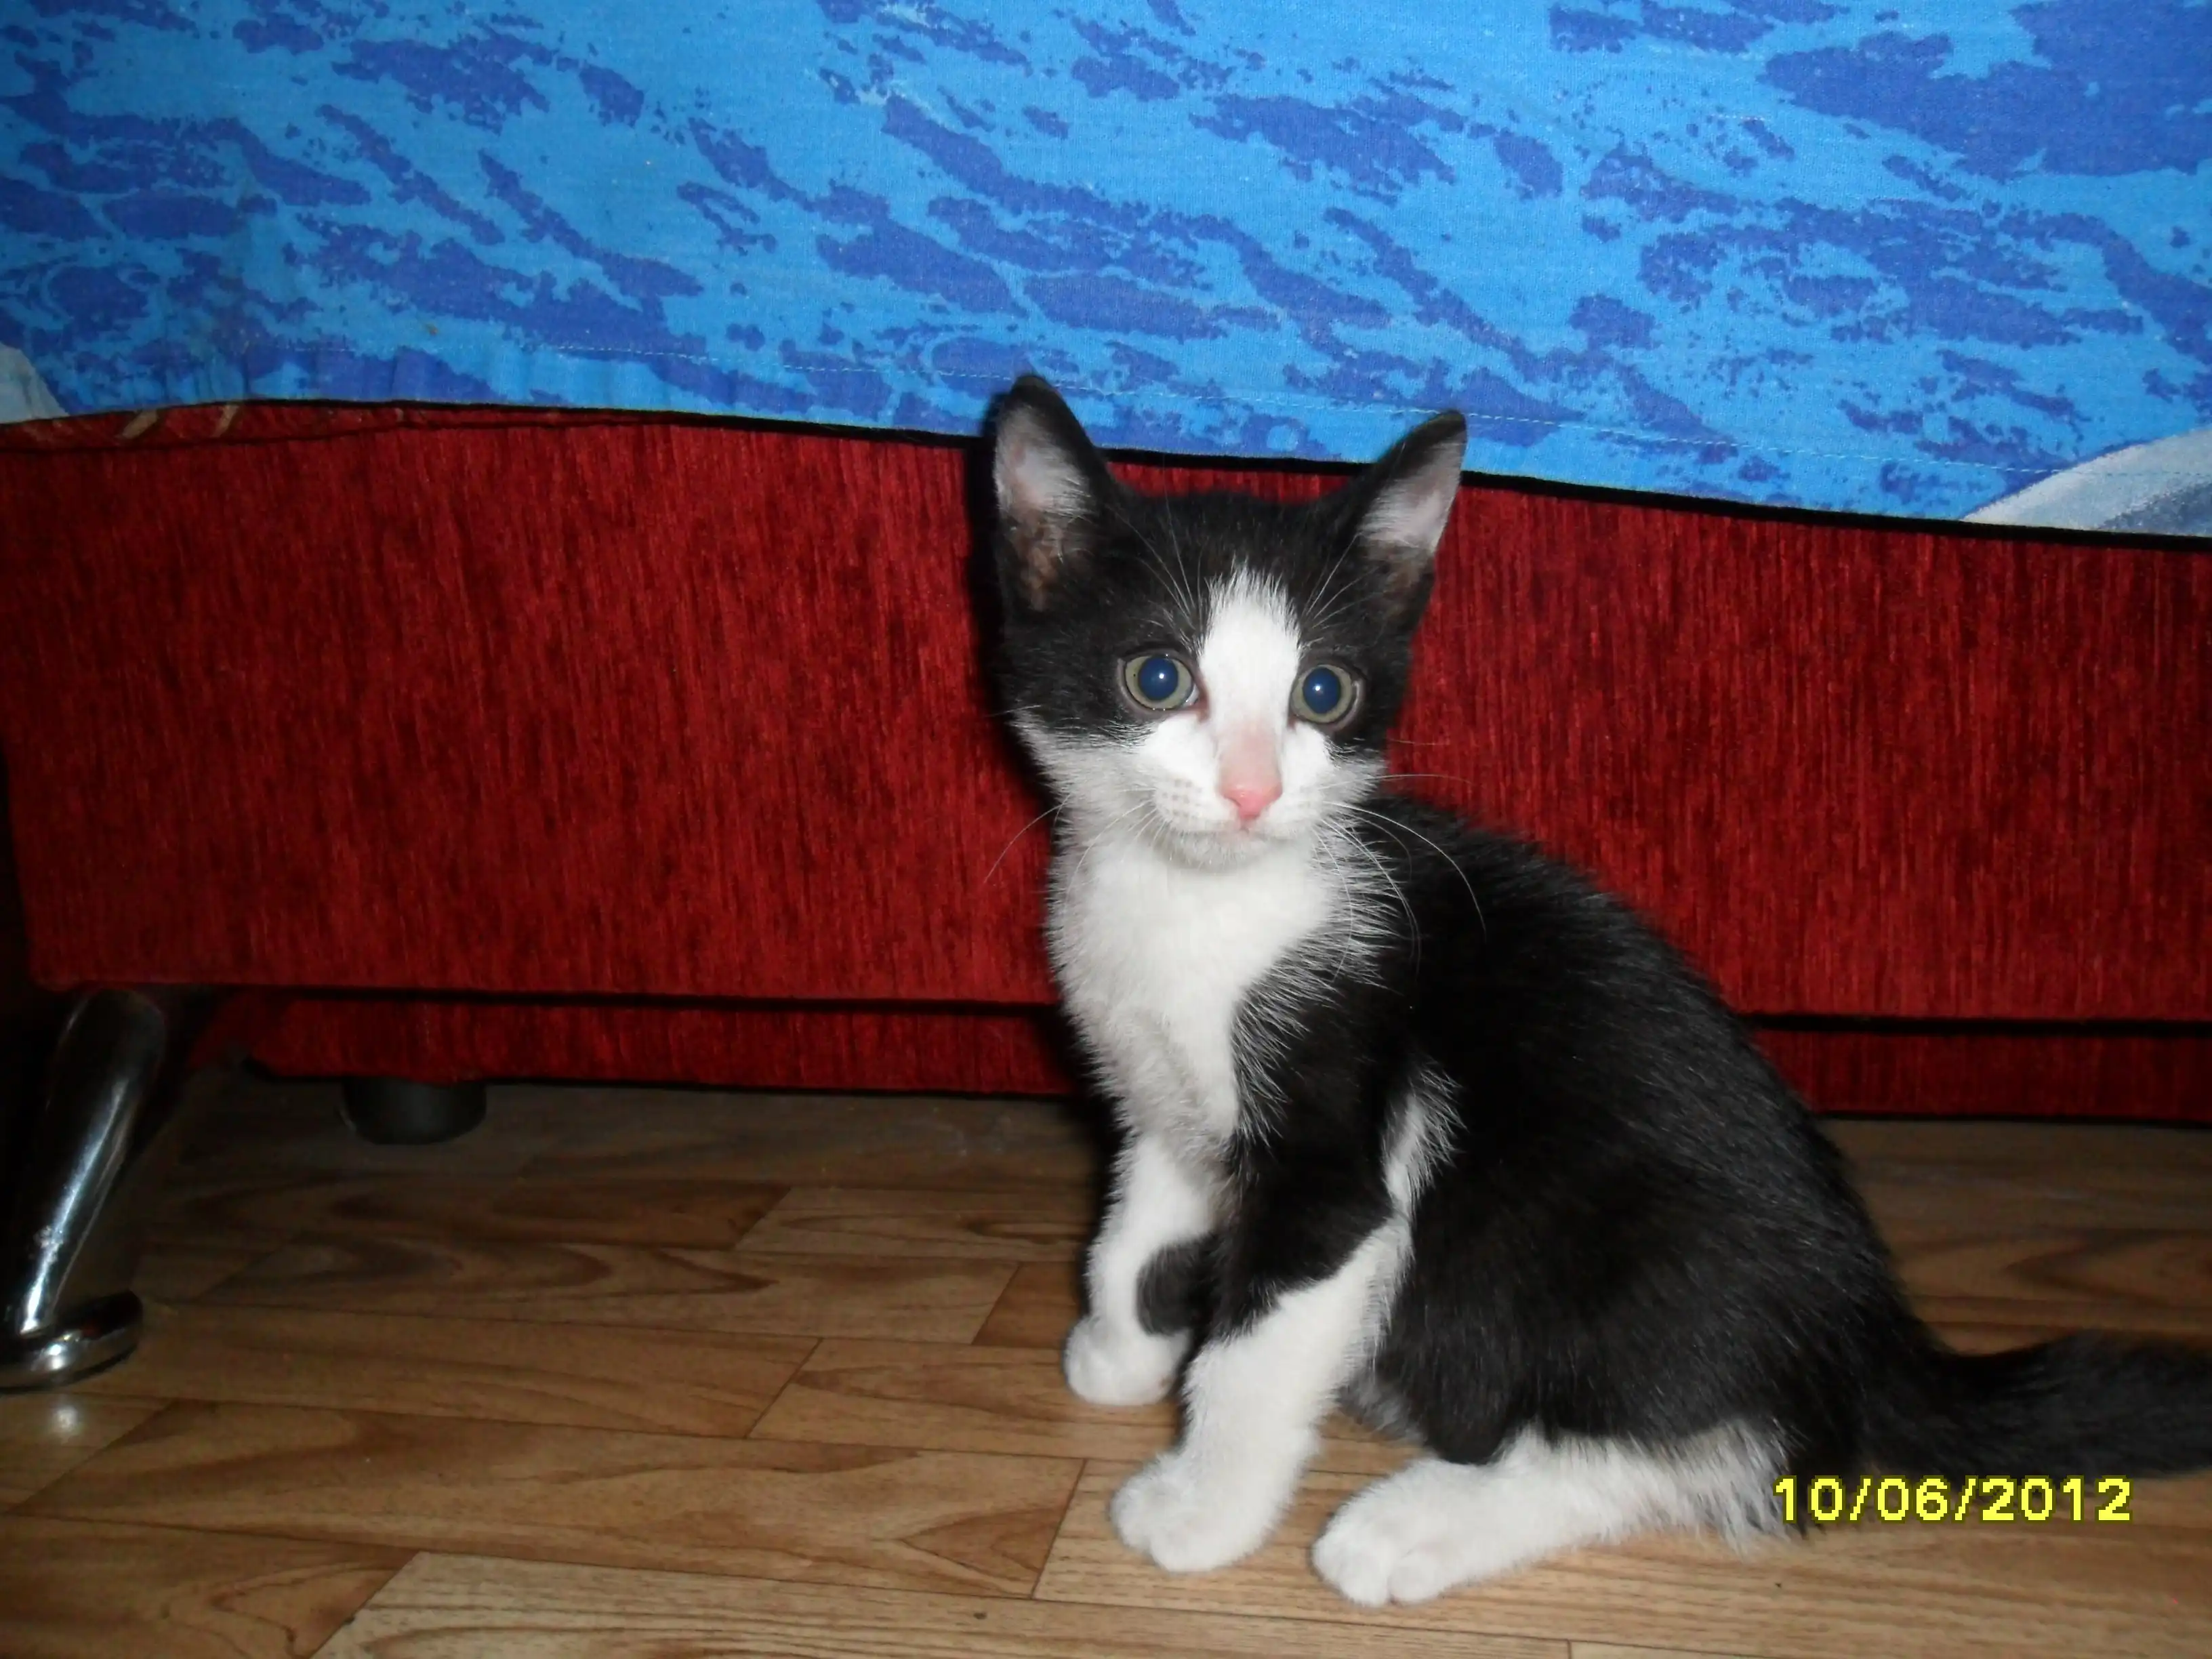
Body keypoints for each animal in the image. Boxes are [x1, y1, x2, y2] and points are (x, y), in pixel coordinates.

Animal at [984, 373, 2212, 1605]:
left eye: (1322, 692)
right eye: (1158, 677)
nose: (1250, 790)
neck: (1196, 903)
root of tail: (1864, 1336)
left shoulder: (1336, 1147)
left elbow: (1256, 1345)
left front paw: (1200, 1506)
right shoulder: (1159, 1094)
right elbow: (1129, 1232)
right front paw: (1118, 1350)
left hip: (1601, 1248)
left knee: (1707, 1445)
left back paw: (1411, 1522)